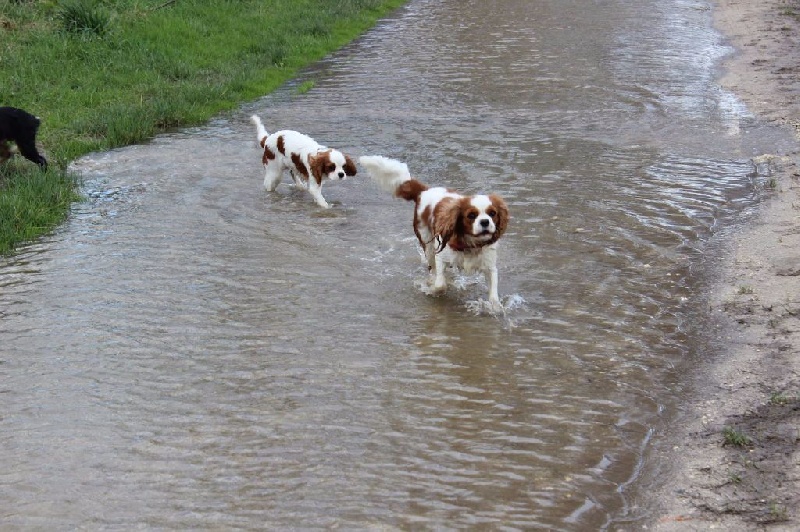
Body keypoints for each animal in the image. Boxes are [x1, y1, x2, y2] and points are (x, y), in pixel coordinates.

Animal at [360, 155, 510, 308]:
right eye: (471, 215)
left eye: (492, 213)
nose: (485, 221)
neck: (471, 243)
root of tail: (424, 191)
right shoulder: (441, 256)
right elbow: (440, 284)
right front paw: (433, 289)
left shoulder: (490, 266)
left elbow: (494, 296)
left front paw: (495, 307)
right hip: (428, 244)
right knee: (432, 267)